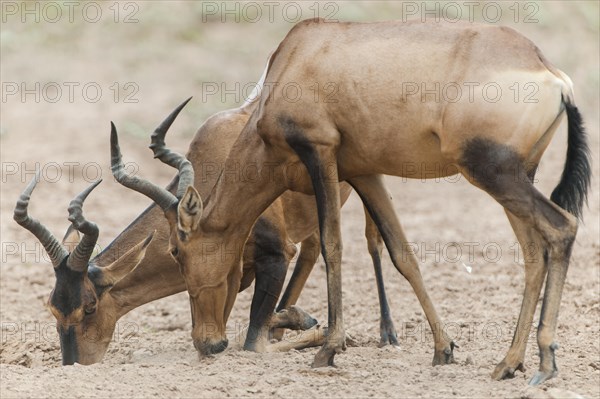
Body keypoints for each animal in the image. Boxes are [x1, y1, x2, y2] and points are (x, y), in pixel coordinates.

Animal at [12, 100, 398, 366]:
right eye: (52, 308)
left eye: (90, 306)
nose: (75, 364)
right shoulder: (226, 274)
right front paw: (297, 320)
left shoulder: (274, 255)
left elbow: (249, 343)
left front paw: (315, 331)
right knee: (313, 248)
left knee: (374, 239)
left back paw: (387, 333)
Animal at [113, 19, 592, 388]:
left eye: (176, 250)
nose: (207, 342)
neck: (297, 57)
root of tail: (549, 71)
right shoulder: (364, 172)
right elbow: (401, 252)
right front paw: (443, 349)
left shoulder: (320, 152)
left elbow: (332, 246)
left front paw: (327, 349)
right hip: (518, 174)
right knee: (532, 252)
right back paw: (508, 364)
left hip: (492, 171)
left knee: (562, 228)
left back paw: (545, 363)